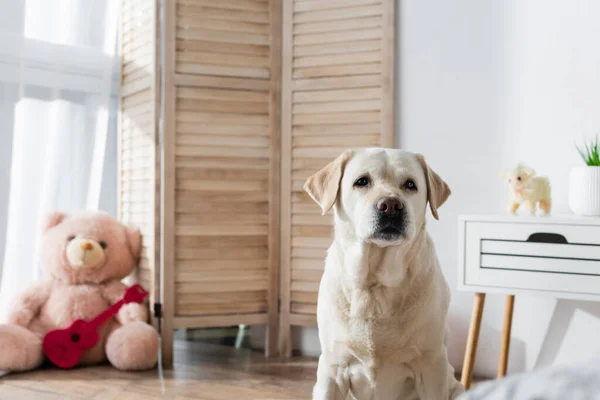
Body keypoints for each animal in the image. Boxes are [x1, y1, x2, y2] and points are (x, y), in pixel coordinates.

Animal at [304, 148, 464, 400]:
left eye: (410, 184)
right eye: (361, 181)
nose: (390, 205)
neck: (375, 285)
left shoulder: (431, 367)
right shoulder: (332, 369)